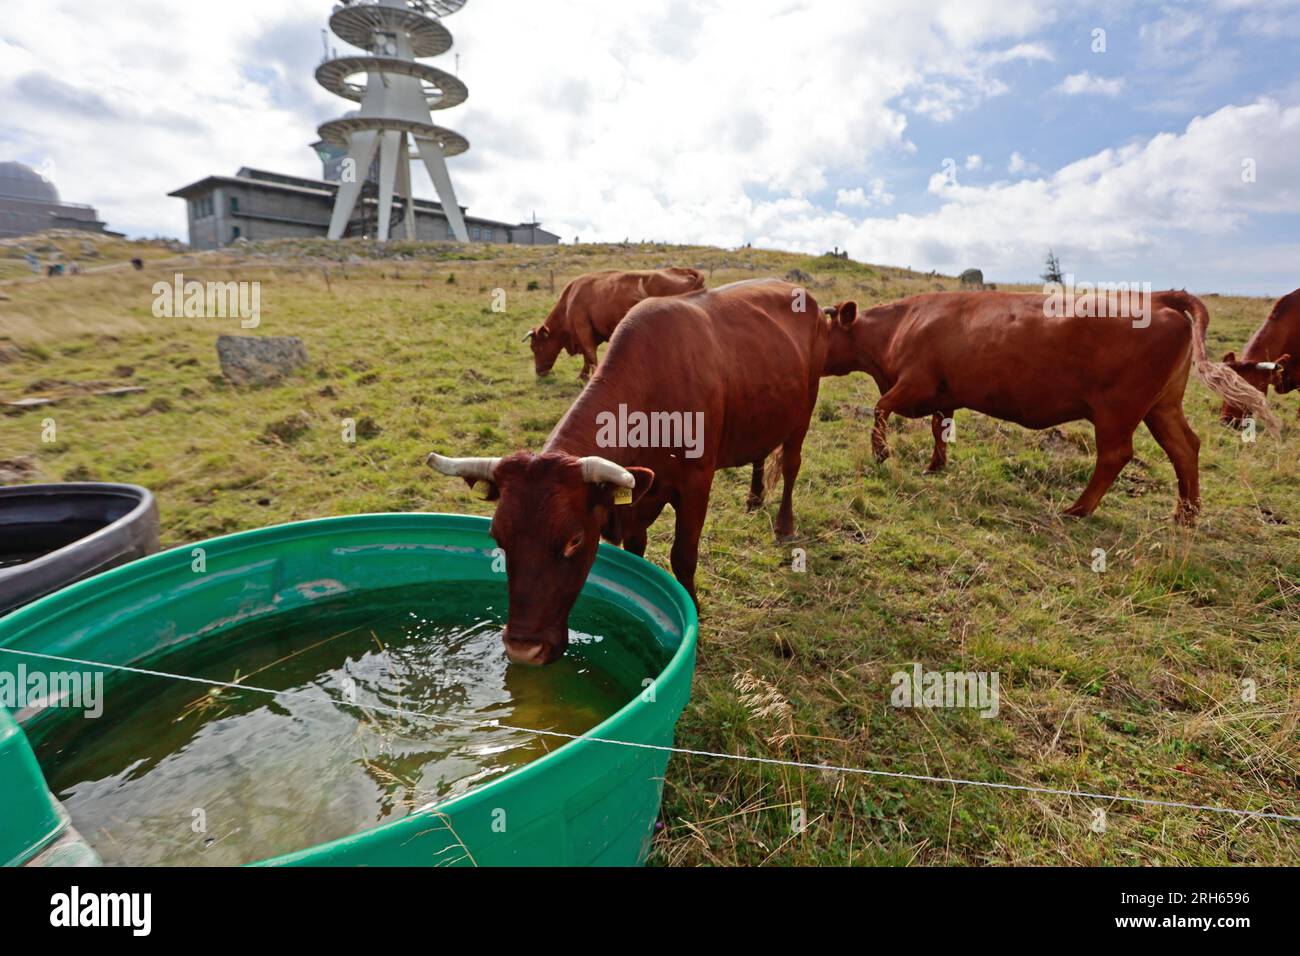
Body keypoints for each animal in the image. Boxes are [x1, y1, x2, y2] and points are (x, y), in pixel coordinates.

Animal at [522, 269, 707, 382]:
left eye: (535, 347)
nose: (539, 372)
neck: (569, 301)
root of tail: (685, 271)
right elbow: (587, 358)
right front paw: (582, 377)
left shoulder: (584, 331)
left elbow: (590, 355)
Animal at [826, 287, 1274, 528]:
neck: (902, 324)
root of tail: (1155, 297)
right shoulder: (942, 394)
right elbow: (940, 428)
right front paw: (936, 464)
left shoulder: (913, 384)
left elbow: (880, 408)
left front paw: (881, 452)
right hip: (1162, 407)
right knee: (1185, 448)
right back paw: (1186, 515)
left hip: (1117, 411)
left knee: (1116, 455)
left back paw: (1078, 509)